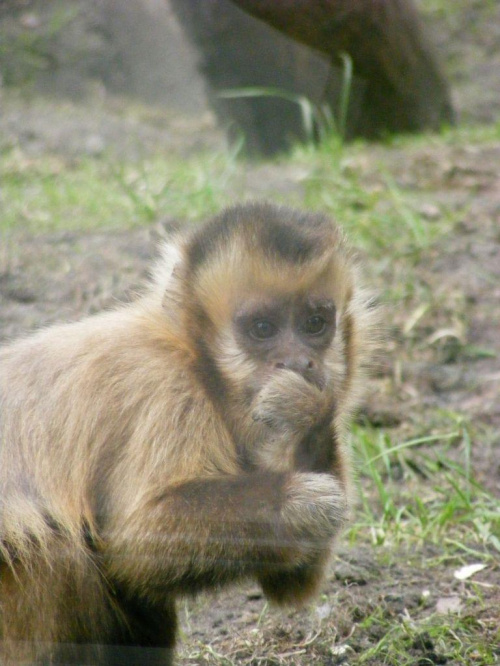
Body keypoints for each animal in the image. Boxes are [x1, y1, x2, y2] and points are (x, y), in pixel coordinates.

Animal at [0, 200, 376, 660]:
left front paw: (306, 421)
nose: (300, 362)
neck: (198, 364)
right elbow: (135, 538)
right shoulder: (162, 386)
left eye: (315, 323)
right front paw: (297, 500)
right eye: (263, 329)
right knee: (51, 548)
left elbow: (290, 581)